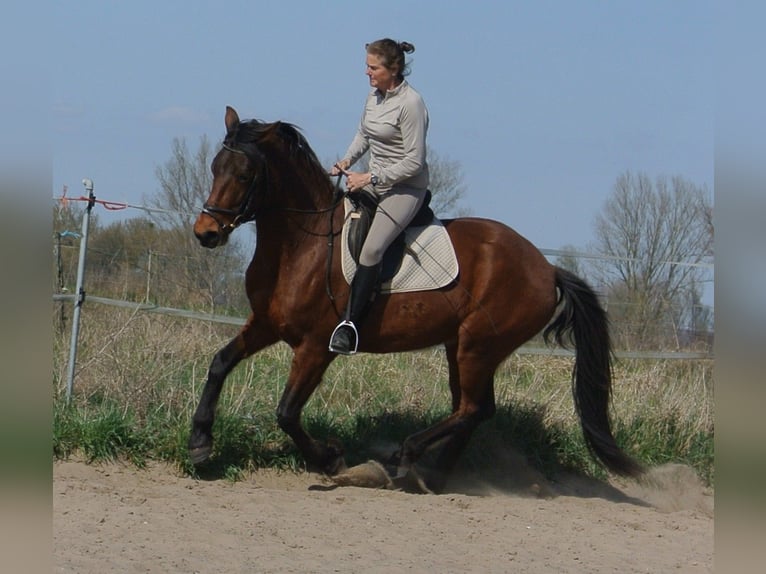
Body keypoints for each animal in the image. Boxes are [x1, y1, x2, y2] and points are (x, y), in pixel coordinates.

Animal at [188, 106, 643, 493]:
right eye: (215, 167)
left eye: (245, 174)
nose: (205, 233)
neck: (300, 245)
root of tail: (547, 269)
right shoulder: (266, 323)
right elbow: (220, 363)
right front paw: (199, 442)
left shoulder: (316, 346)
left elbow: (286, 412)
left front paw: (331, 459)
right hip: (462, 347)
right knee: (475, 409)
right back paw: (434, 476)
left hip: (478, 346)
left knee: (471, 408)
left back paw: (405, 458)